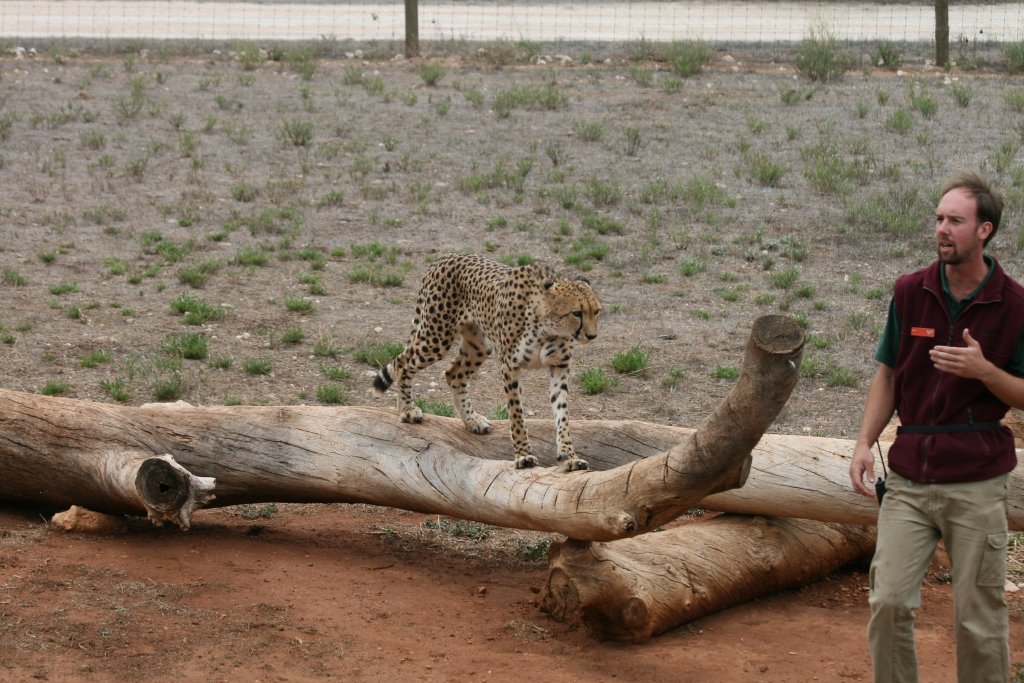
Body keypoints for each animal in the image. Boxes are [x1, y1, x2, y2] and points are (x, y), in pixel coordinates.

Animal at [373, 253, 600, 472]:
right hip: (436, 337)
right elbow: (516, 414)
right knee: (403, 364)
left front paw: (569, 457)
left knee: (453, 374)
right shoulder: (510, 366)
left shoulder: (559, 366)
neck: (549, 328)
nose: (592, 336)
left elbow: (562, 414)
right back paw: (408, 410)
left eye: (596, 311)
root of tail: (444, 257)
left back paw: (471, 420)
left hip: (479, 346)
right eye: (577, 313)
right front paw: (523, 455)